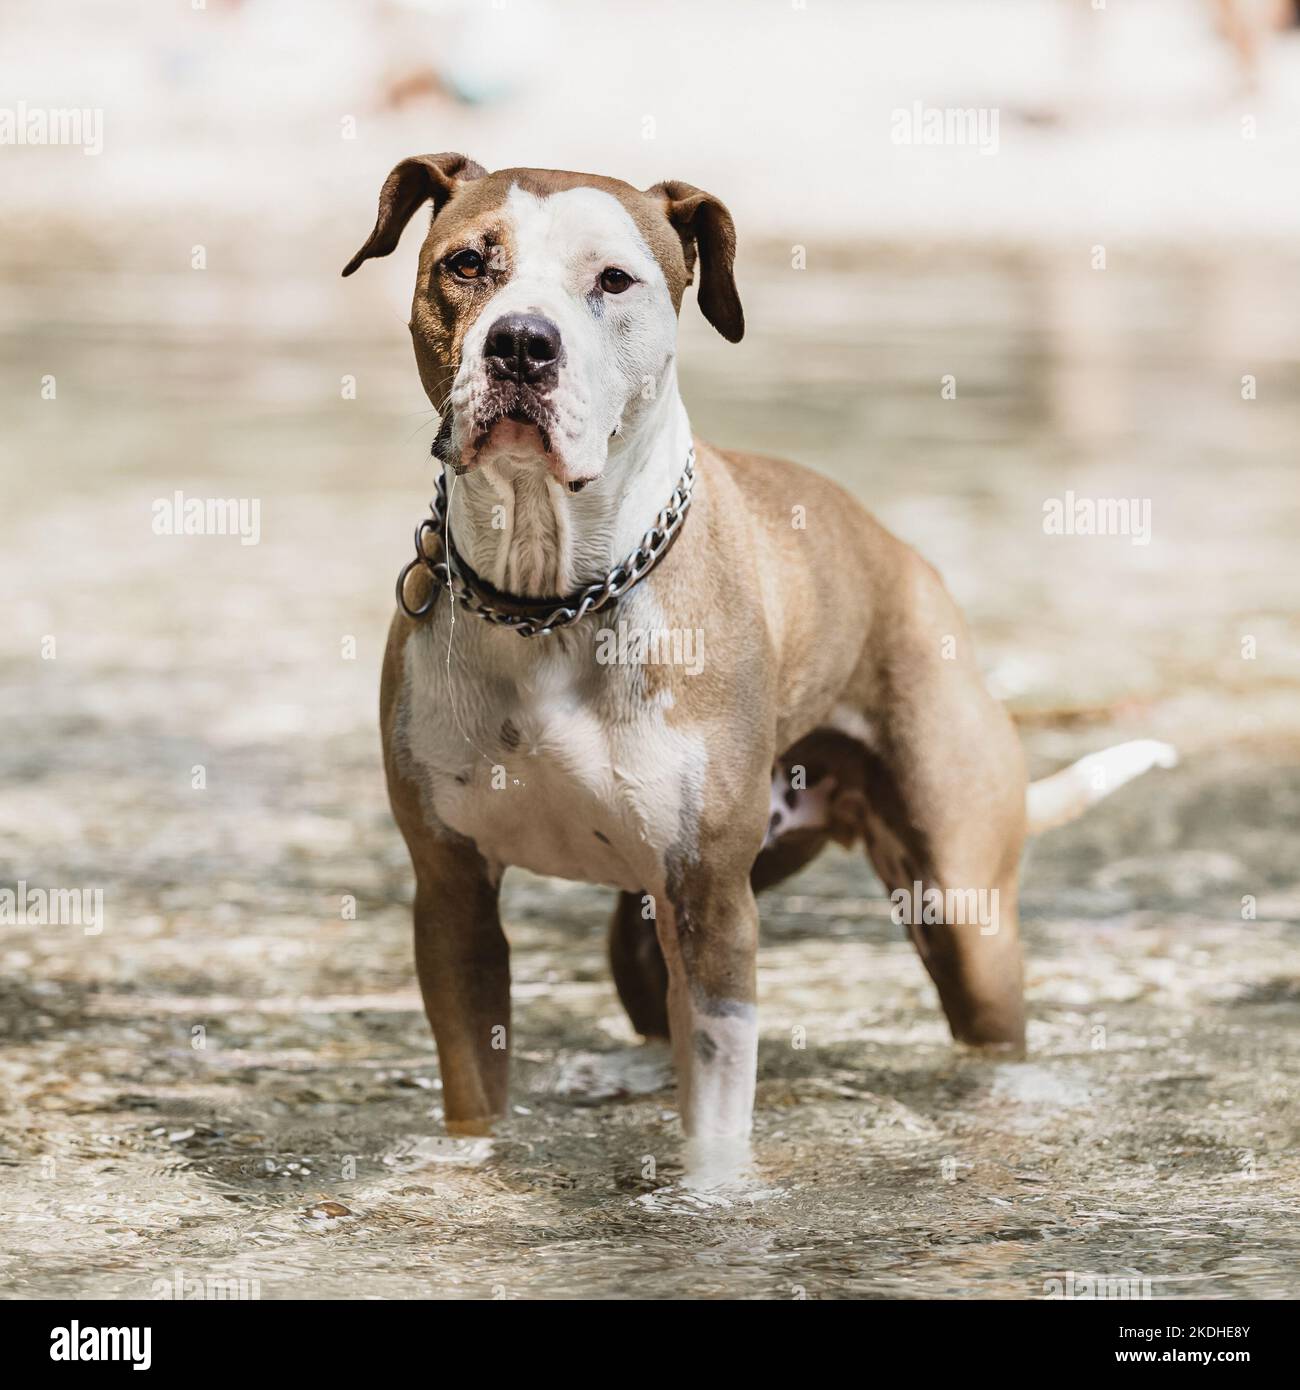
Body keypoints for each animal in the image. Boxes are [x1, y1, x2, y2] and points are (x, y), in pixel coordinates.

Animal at [346, 154, 1179, 1162]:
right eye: (468, 263)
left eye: (613, 280)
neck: (551, 595)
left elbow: (715, 1129)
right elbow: (476, 1097)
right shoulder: (453, 896)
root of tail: (908, 560)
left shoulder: (714, 911)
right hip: (647, 927)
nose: (521, 343)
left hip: (961, 911)